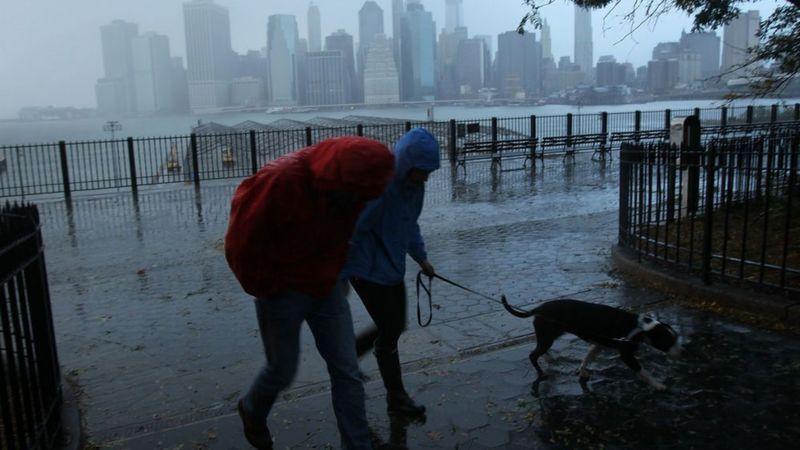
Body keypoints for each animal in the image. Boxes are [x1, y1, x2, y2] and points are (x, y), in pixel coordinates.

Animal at [500, 298, 680, 390]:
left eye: (676, 338)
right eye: (668, 342)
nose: (682, 351)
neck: (640, 328)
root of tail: (538, 309)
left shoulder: (598, 345)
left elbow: (587, 358)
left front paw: (582, 372)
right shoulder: (626, 355)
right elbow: (643, 372)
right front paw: (658, 385)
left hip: (547, 337)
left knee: (539, 352)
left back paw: (549, 359)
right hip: (547, 338)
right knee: (533, 355)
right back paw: (541, 372)